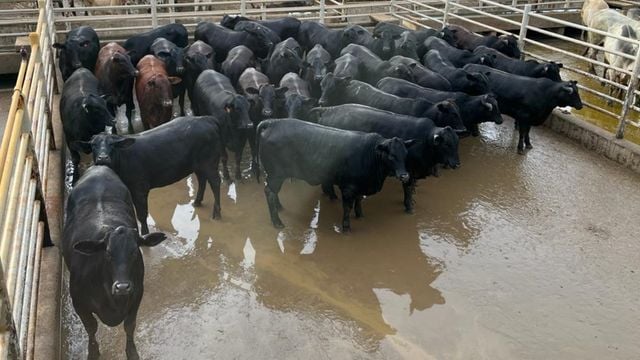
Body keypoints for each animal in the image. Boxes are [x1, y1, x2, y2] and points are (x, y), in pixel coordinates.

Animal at [62, 165, 166, 360]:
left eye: (135, 252)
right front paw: (93, 352)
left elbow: (129, 326)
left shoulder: (136, 296)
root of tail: (99, 167)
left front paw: (132, 352)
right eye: (108, 254)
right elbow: (91, 328)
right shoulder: (79, 305)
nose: (122, 287)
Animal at [72, 115, 225, 233]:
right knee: (202, 179)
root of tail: (207, 119)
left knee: (215, 182)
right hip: (199, 165)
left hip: (210, 162)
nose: (103, 158)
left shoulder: (139, 188)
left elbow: (141, 215)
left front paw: (145, 234)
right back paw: (197, 202)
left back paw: (216, 213)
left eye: (112, 145)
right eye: (93, 145)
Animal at [256, 118, 410, 231]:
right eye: (391, 156)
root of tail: (274, 122)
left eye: (405, 154)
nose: (404, 176)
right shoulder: (348, 188)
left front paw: (360, 216)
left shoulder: (360, 185)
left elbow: (359, 200)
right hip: (276, 175)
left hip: (274, 175)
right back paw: (277, 222)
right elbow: (347, 207)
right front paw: (346, 228)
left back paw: (279, 208)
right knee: (269, 192)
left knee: (272, 191)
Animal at [310, 105, 460, 214]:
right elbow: (407, 191)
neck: (425, 141)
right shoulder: (408, 172)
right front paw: (409, 208)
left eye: (456, 143)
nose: (457, 164)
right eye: (447, 144)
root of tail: (329, 109)